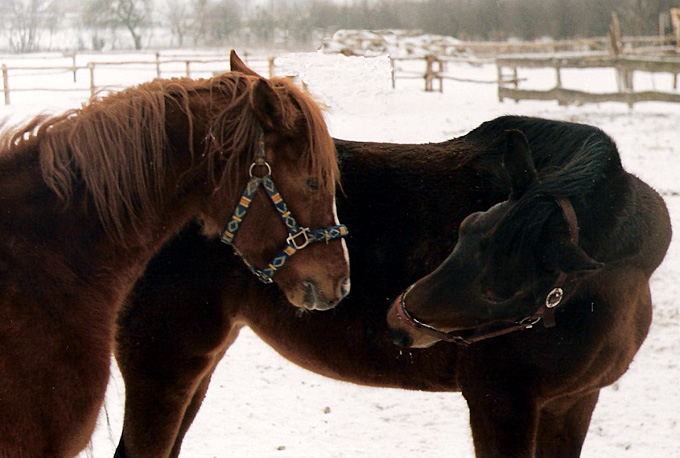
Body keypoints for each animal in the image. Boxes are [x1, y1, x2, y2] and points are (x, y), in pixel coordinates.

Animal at [111, 114, 668, 458]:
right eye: (464, 230)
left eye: (499, 289)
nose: (397, 321)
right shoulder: (501, 402)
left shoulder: (573, 404)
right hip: (162, 362)